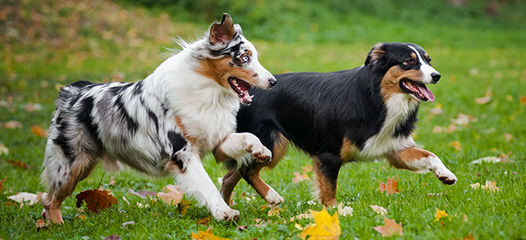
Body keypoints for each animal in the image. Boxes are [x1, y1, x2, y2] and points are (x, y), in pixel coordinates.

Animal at [217, 42, 460, 206]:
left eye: (428, 60)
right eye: (409, 61)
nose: (437, 75)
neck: (378, 97)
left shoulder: (394, 148)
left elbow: (430, 155)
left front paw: (445, 174)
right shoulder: (328, 156)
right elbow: (329, 193)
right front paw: (335, 214)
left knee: (230, 176)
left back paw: (227, 210)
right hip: (269, 144)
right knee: (247, 171)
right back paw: (271, 196)